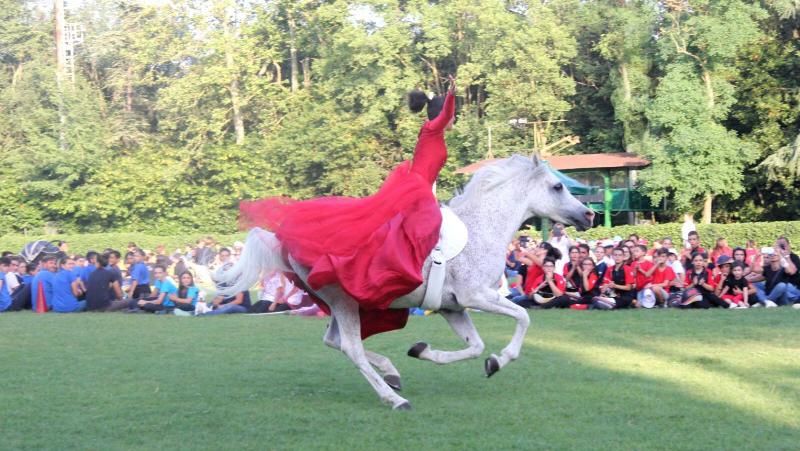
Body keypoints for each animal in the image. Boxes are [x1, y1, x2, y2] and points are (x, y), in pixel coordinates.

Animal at [216, 154, 594, 410]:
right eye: (557, 186)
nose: (589, 214)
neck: (479, 229)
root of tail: (283, 238)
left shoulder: (453, 307)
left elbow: (474, 346)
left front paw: (425, 351)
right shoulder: (477, 295)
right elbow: (523, 317)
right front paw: (500, 360)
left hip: (342, 304)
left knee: (334, 341)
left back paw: (392, 374)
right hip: (343, 300)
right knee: (350, 347)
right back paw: (392, 397)